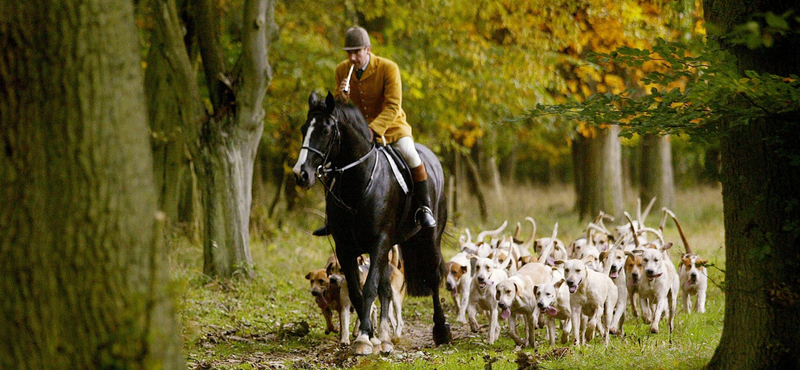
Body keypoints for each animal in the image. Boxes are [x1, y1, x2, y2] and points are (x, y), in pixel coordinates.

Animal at [294, 92, 454, 356]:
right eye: (303, 129)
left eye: (326, 130)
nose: (301, 174)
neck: (358, 182)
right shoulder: (346, 248)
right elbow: (358, 293)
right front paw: (368, 335)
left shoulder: (378, 242)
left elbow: (369, 288)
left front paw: (363, 339)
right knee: (386, 289)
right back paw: (385, 337)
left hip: (429, 237)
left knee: (432, 277)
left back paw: (441, 330)